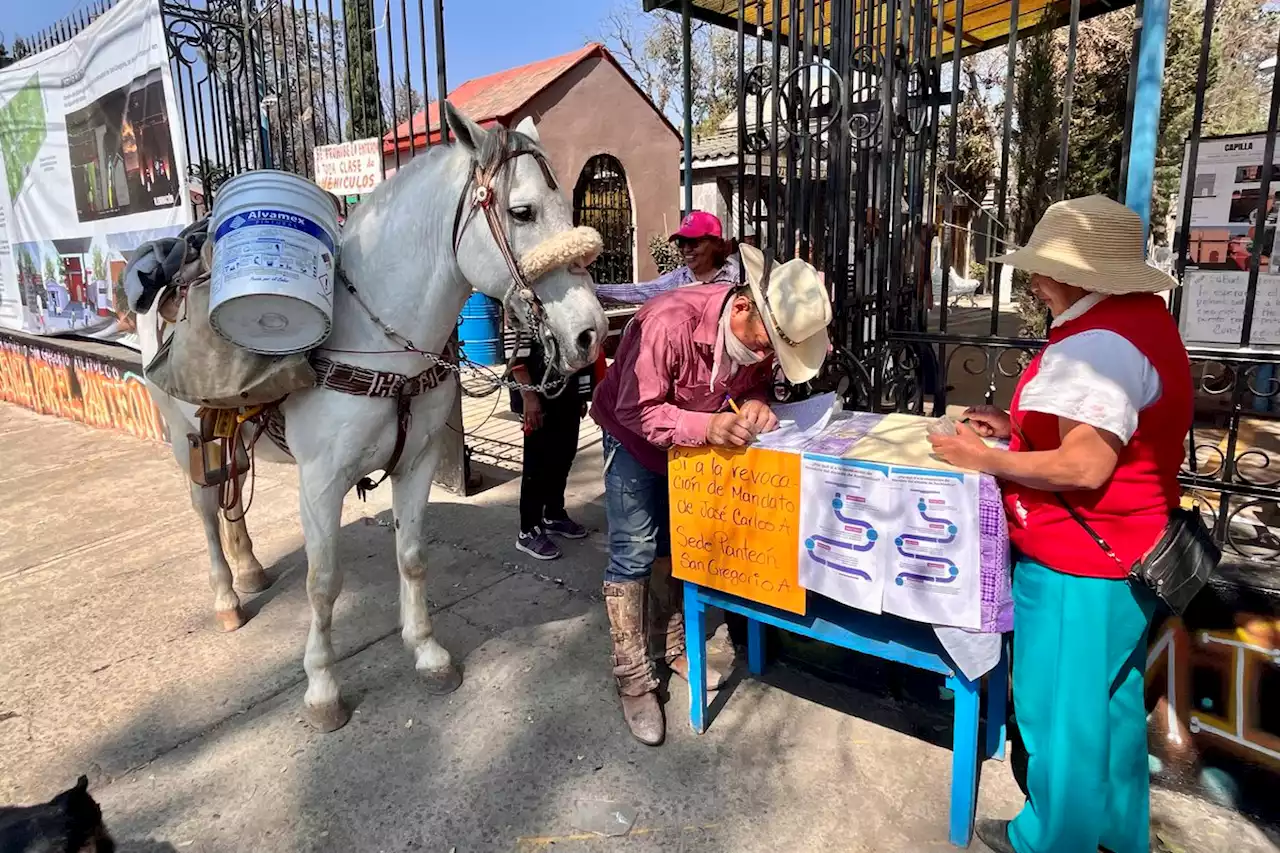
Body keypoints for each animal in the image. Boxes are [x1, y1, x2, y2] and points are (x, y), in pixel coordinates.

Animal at [137, 103, 606, 727]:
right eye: (522, 211)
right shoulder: (320, 482)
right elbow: (322, 582)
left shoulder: (417, 464)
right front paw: (322, 686)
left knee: (233, 490)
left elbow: (411, 557)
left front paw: (427, 652)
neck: (375, 339)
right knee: (207, 510)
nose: (590, 333)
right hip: (183, 437)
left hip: (227, 434)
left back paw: (251, 566)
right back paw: (226, 596)